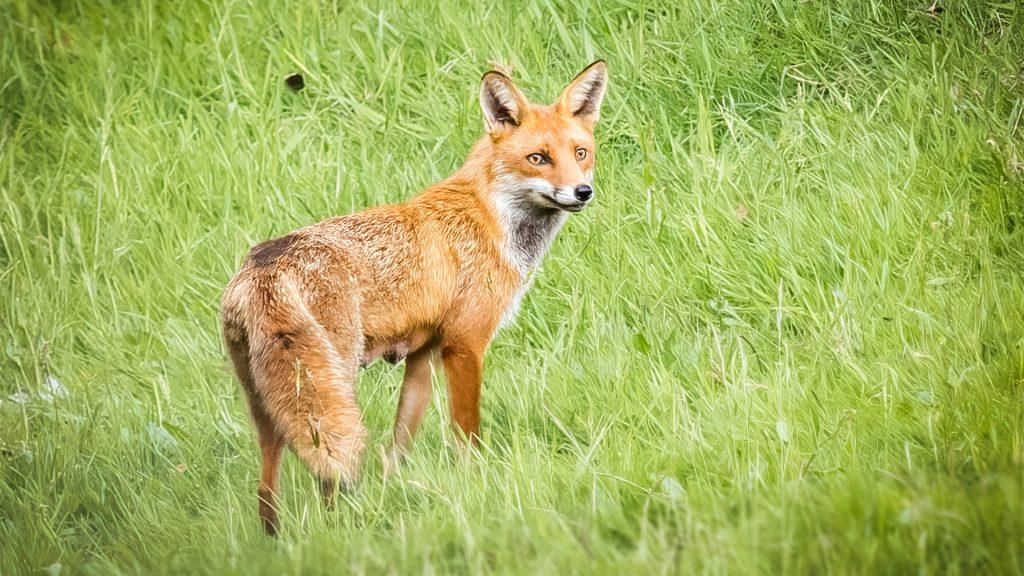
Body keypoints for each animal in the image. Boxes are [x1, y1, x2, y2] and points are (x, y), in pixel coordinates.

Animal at [220, 61, 608, 535]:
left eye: (580, 153)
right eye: (538, 158)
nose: (582, 192)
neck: (492, 218)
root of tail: (263, 263)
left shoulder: (423, 354)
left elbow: (399, 444)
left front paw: (395, 491)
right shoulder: (464, 344)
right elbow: (467, 435)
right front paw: (478, 487)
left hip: (267, 402)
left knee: (266, 488)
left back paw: (280, 539)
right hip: (332, 381)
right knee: (326, 474)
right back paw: (341, 530)